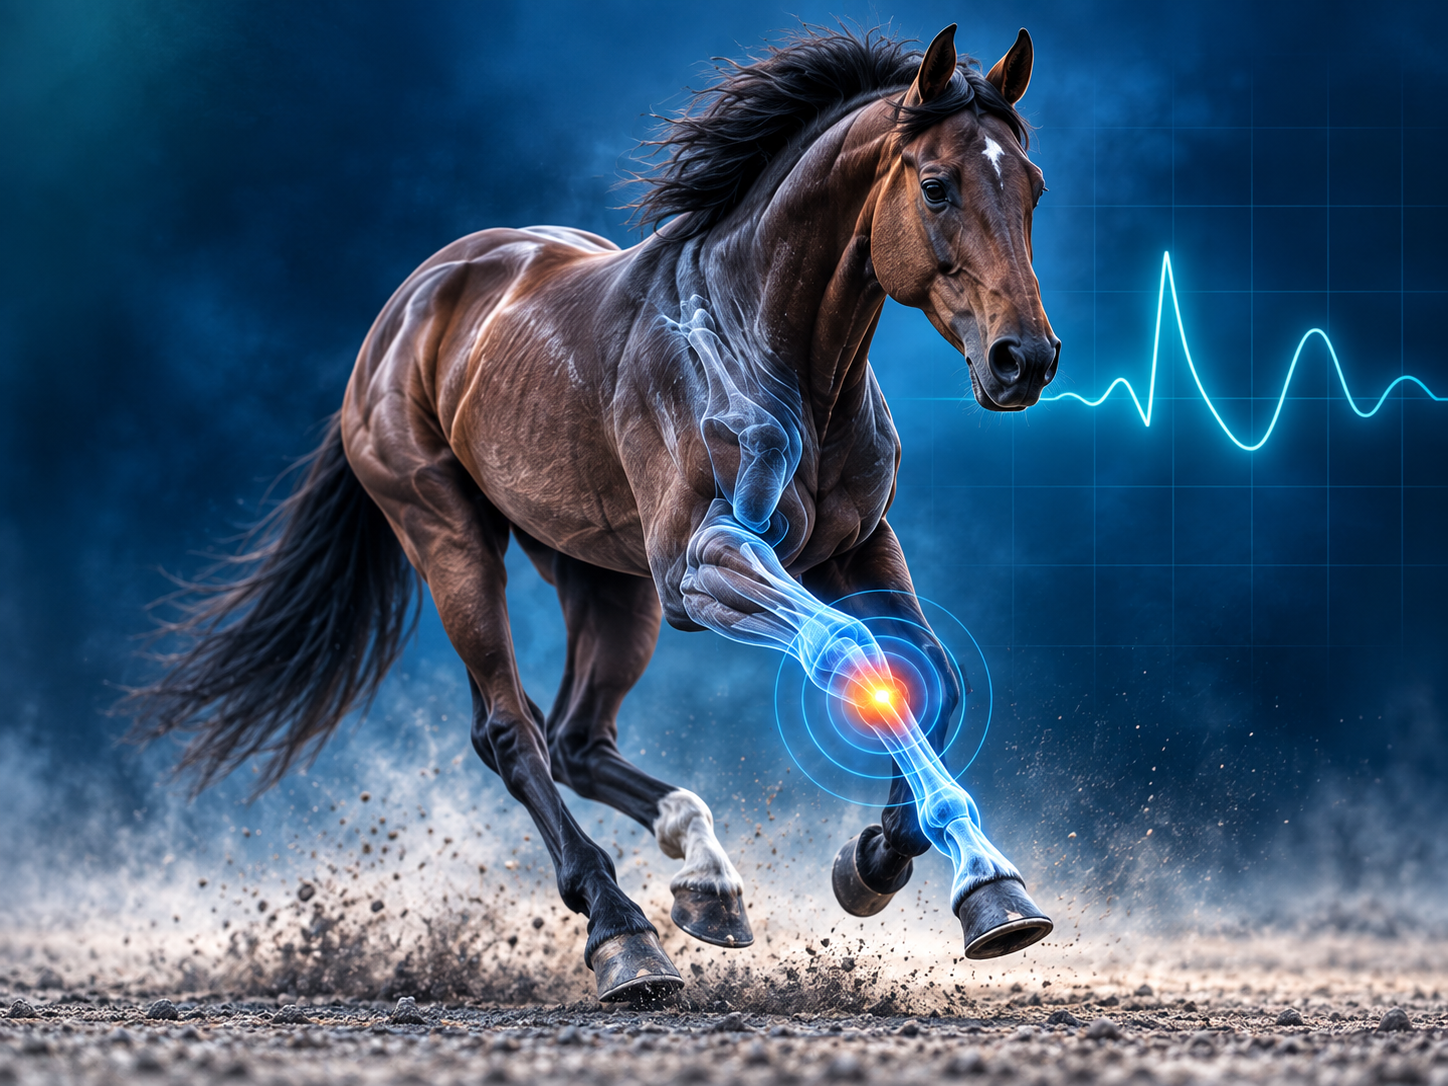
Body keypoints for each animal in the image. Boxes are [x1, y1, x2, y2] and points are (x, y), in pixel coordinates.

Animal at [128, 24, 1060, 1002]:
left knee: (575, 737)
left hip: (603, 579)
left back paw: (708, 883)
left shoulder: (859, 546)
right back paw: (625, 936)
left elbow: (932, 674)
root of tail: (407, 308)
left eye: (1032, 186)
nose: (1024, 360)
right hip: (453, 543)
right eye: (936, 184)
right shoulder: (702, 564)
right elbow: (849, 652)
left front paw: (890, 863)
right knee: (512, 733)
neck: (761, 345)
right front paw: (981, 878)